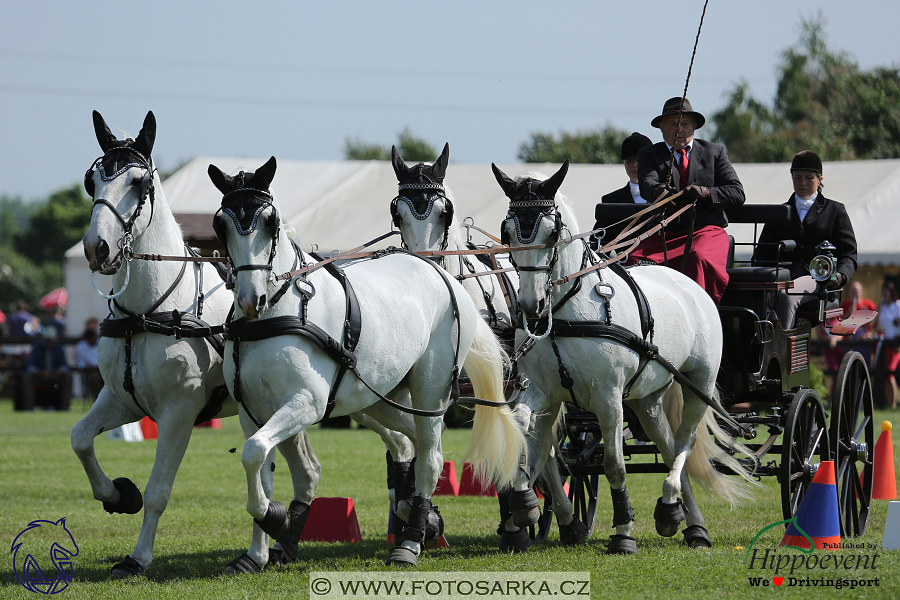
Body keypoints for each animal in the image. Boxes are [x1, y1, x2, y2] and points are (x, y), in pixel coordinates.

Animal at [74, 111, 320, 576]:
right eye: (90, 180)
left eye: (139, 183)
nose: (97, 248)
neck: (149, 309)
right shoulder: (122, 399)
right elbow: (80, 438)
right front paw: (118, 495)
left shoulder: (178, 411)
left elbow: (158, 489)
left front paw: (138, 558)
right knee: (301, 471)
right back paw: (272, 547)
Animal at [207, 157, 524, 564]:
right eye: (221, 224)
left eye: (270, 222)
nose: (251, 299)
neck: (278, 312)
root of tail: (440, 272)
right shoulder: (254, 412)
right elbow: (260, 464)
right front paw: (257, 552)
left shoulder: (306, 402)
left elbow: (254, 453)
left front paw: (274, 519)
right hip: (378, 398)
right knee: (410, 443)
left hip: (430, 391)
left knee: (431, 457)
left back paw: (410, 542)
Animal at [390, 144, 588, 548]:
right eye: (397, 213)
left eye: (444, 212)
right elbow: (420, 445)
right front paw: (421, 515)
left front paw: (517, 514)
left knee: (541, 446)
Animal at [492, 162, 760, 556]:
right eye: (507, 231)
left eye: (552, 231)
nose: (530, 307)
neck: (565, 313)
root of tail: (687, 283)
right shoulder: (541, 391)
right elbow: (528, 436)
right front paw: (524, 502)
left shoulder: (608, 398)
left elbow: (614, 465)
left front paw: (623, 532)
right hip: (647, 400)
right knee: (669, 447)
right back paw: (686, 520)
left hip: (699, 383)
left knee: (684, 443)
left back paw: (676, 511)